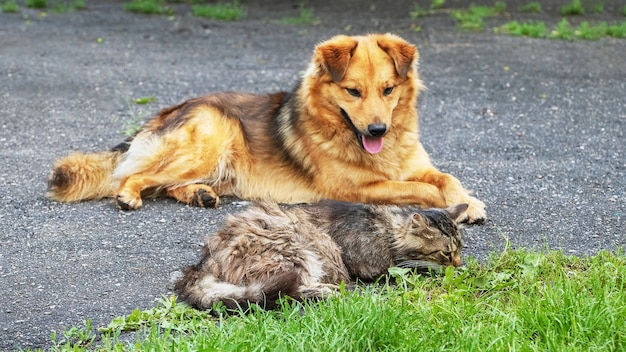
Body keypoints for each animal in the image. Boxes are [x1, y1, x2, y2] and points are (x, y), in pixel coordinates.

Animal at [50, 32, 488, 223]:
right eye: (353, 91)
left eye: (388, 90)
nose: (378, 130)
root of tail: (166, 112)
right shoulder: (352, 189)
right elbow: (422, 189)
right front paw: (453, 205)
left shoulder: (414, 166)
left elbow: (444, 177)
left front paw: (470, 202)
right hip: (211, 142)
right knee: (135, 175)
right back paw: (129, 195)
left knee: (167, 183)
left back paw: (200, 195)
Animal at [173, 199, 466, 312]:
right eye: (446, 253)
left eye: (460, 248)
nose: (459, 265)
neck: (387, 226)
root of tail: (205, 261)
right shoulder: (369, 263)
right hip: (299, 251)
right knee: (292, 290)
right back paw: (330, 292)